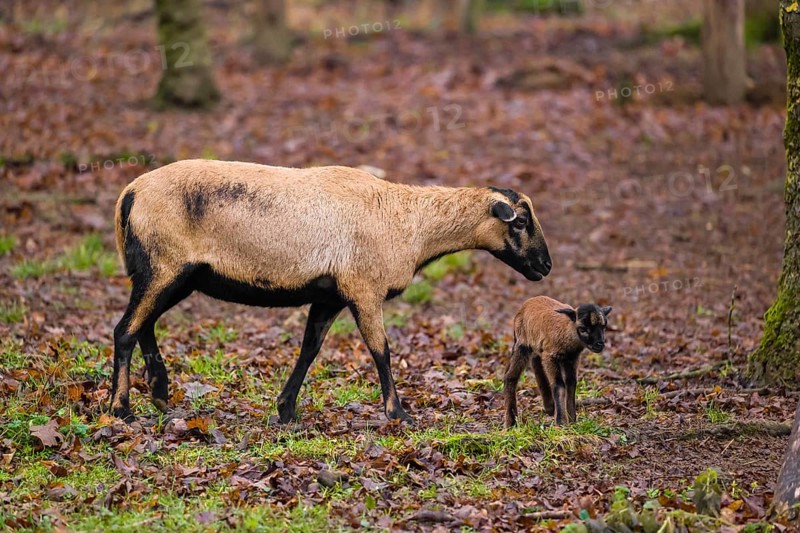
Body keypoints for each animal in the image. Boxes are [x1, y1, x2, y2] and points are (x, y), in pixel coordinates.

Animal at [111, 159, 552, 424]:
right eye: (520, 221)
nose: (546, 266)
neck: (408, 222)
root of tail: (130, 193)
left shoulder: (329, 295)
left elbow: (309, 349)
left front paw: (286, 409)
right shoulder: (363, 288)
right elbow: (381, 350)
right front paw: (398, 414)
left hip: (171, 274)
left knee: (143, 325)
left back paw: (159, 392)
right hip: (163, 266)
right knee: (125, 331)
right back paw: (121, 409)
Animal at [504, 296, 611, 427]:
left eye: (604, 327)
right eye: (583, 329)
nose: (600, 344)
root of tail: (528, 302)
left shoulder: (572, 358)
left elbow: (571, 383)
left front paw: (572, 419)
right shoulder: (550, 357)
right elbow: (559, 385)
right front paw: (561, 421)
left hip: (538, 348)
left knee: (536, 365)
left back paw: (549, 407)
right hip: (521, 344)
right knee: (510, 377)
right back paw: (511, 422)